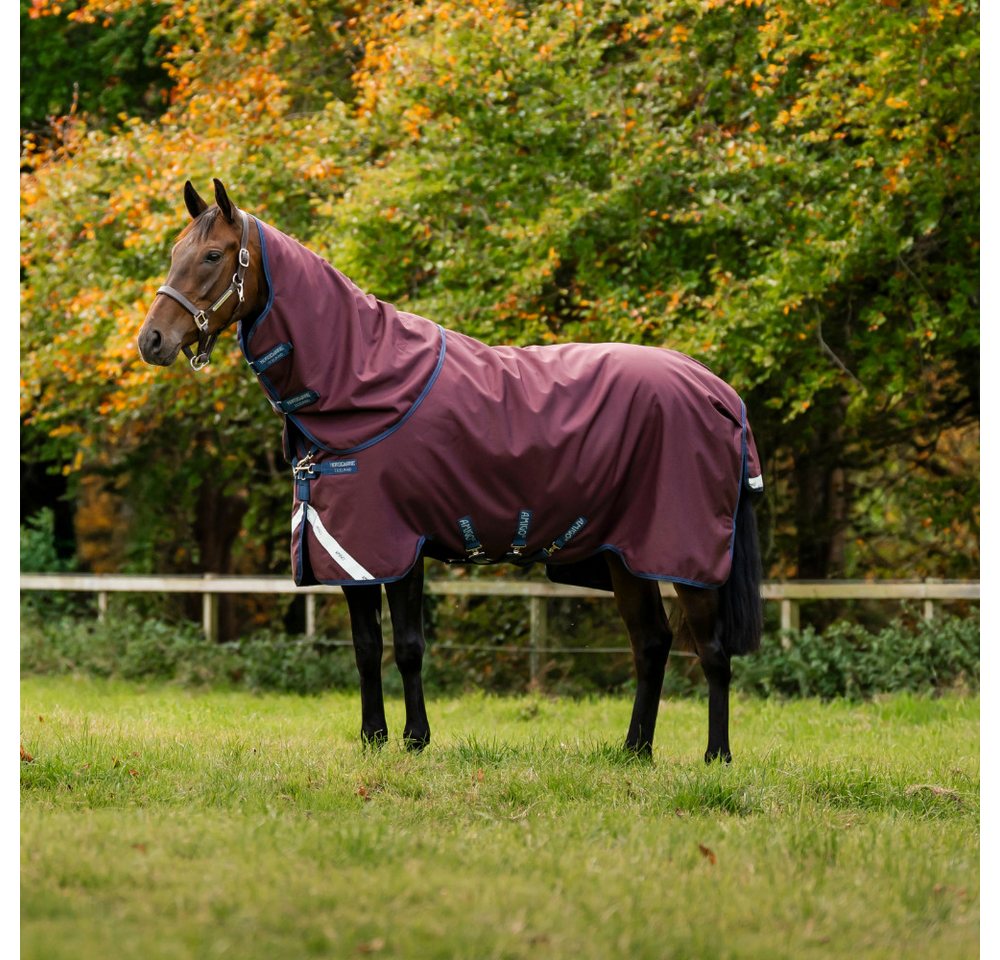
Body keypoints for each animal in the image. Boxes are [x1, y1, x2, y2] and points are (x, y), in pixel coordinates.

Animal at [138, 179, 764, 762]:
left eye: (212, 256)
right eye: (173, 252)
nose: (152, 340)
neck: (362, 379)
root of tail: (719, 392)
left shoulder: (396, 544)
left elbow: (409, 645)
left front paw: (415, 738)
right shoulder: (347, 548)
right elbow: (366, 646)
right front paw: (373, 738)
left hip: (686, 556)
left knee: (711, 651)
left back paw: (717, 756)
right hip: (626, 557)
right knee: (651, 642)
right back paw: (635, 751)